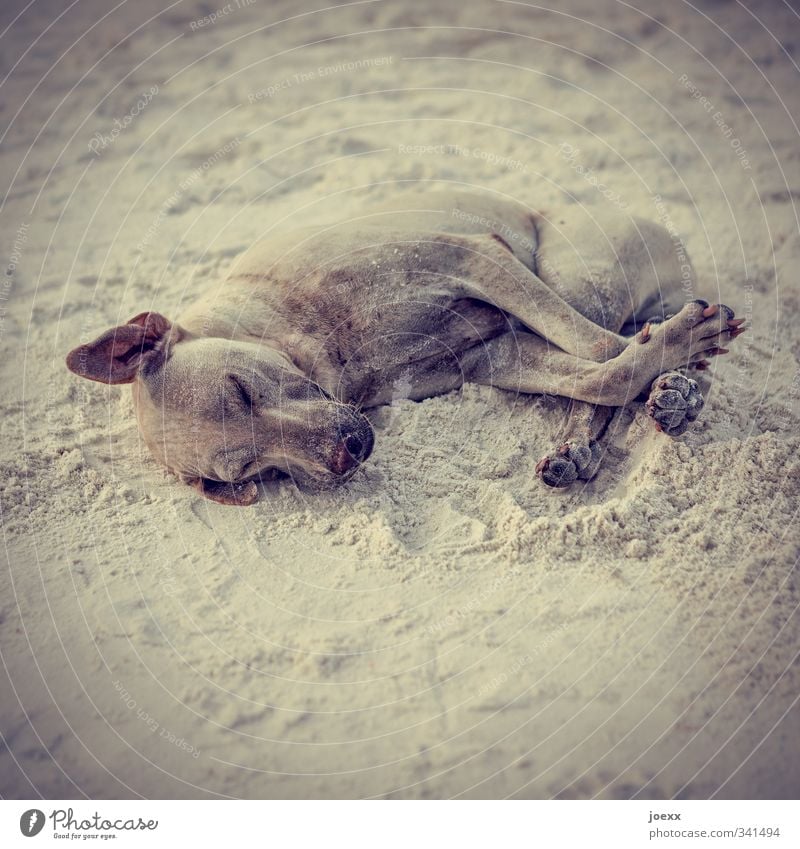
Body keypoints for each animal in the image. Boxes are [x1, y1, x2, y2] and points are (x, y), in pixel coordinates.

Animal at [67, 191, 744, 504]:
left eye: (241, 388)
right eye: (251, 469)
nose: (346, 455)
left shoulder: (476, 257)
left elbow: (600, 350)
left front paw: (683, 353)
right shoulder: (496, 353)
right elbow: (602, 374)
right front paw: (669, 364)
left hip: (572, 272)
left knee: (608, 330)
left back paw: (680, 385)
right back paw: (592, 440)